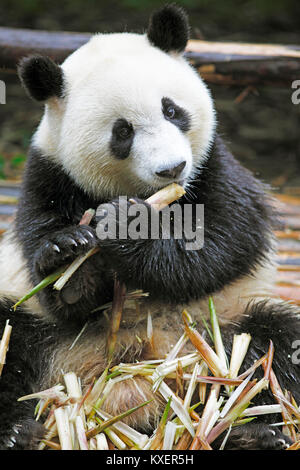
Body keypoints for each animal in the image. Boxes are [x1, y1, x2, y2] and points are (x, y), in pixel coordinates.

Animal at [0, 4, 300, 452]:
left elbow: (219, 245)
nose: (172, 168)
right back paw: (17, 432)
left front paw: (124, 226)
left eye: (171, 110)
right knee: (9, 338)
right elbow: (57, 288)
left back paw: (252, 432)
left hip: (228, 321)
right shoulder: (48, 176)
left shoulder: (214, 168)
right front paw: (68, 254)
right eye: (122, 131)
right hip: (43, 335)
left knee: (274, 344)